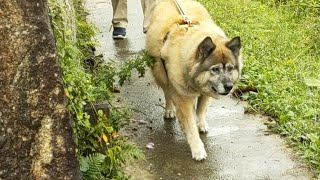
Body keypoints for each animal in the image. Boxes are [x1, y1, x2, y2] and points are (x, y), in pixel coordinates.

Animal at [145, 0, 242, 160]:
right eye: (215, 69)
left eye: (230, 68)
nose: (229, 86)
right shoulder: (183, 99)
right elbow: (190, 127)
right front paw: (197, 149)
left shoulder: (206, 92)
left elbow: (201, 110)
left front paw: (201, 123)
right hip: (161, 74)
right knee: (167, 93)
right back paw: (169, 109)